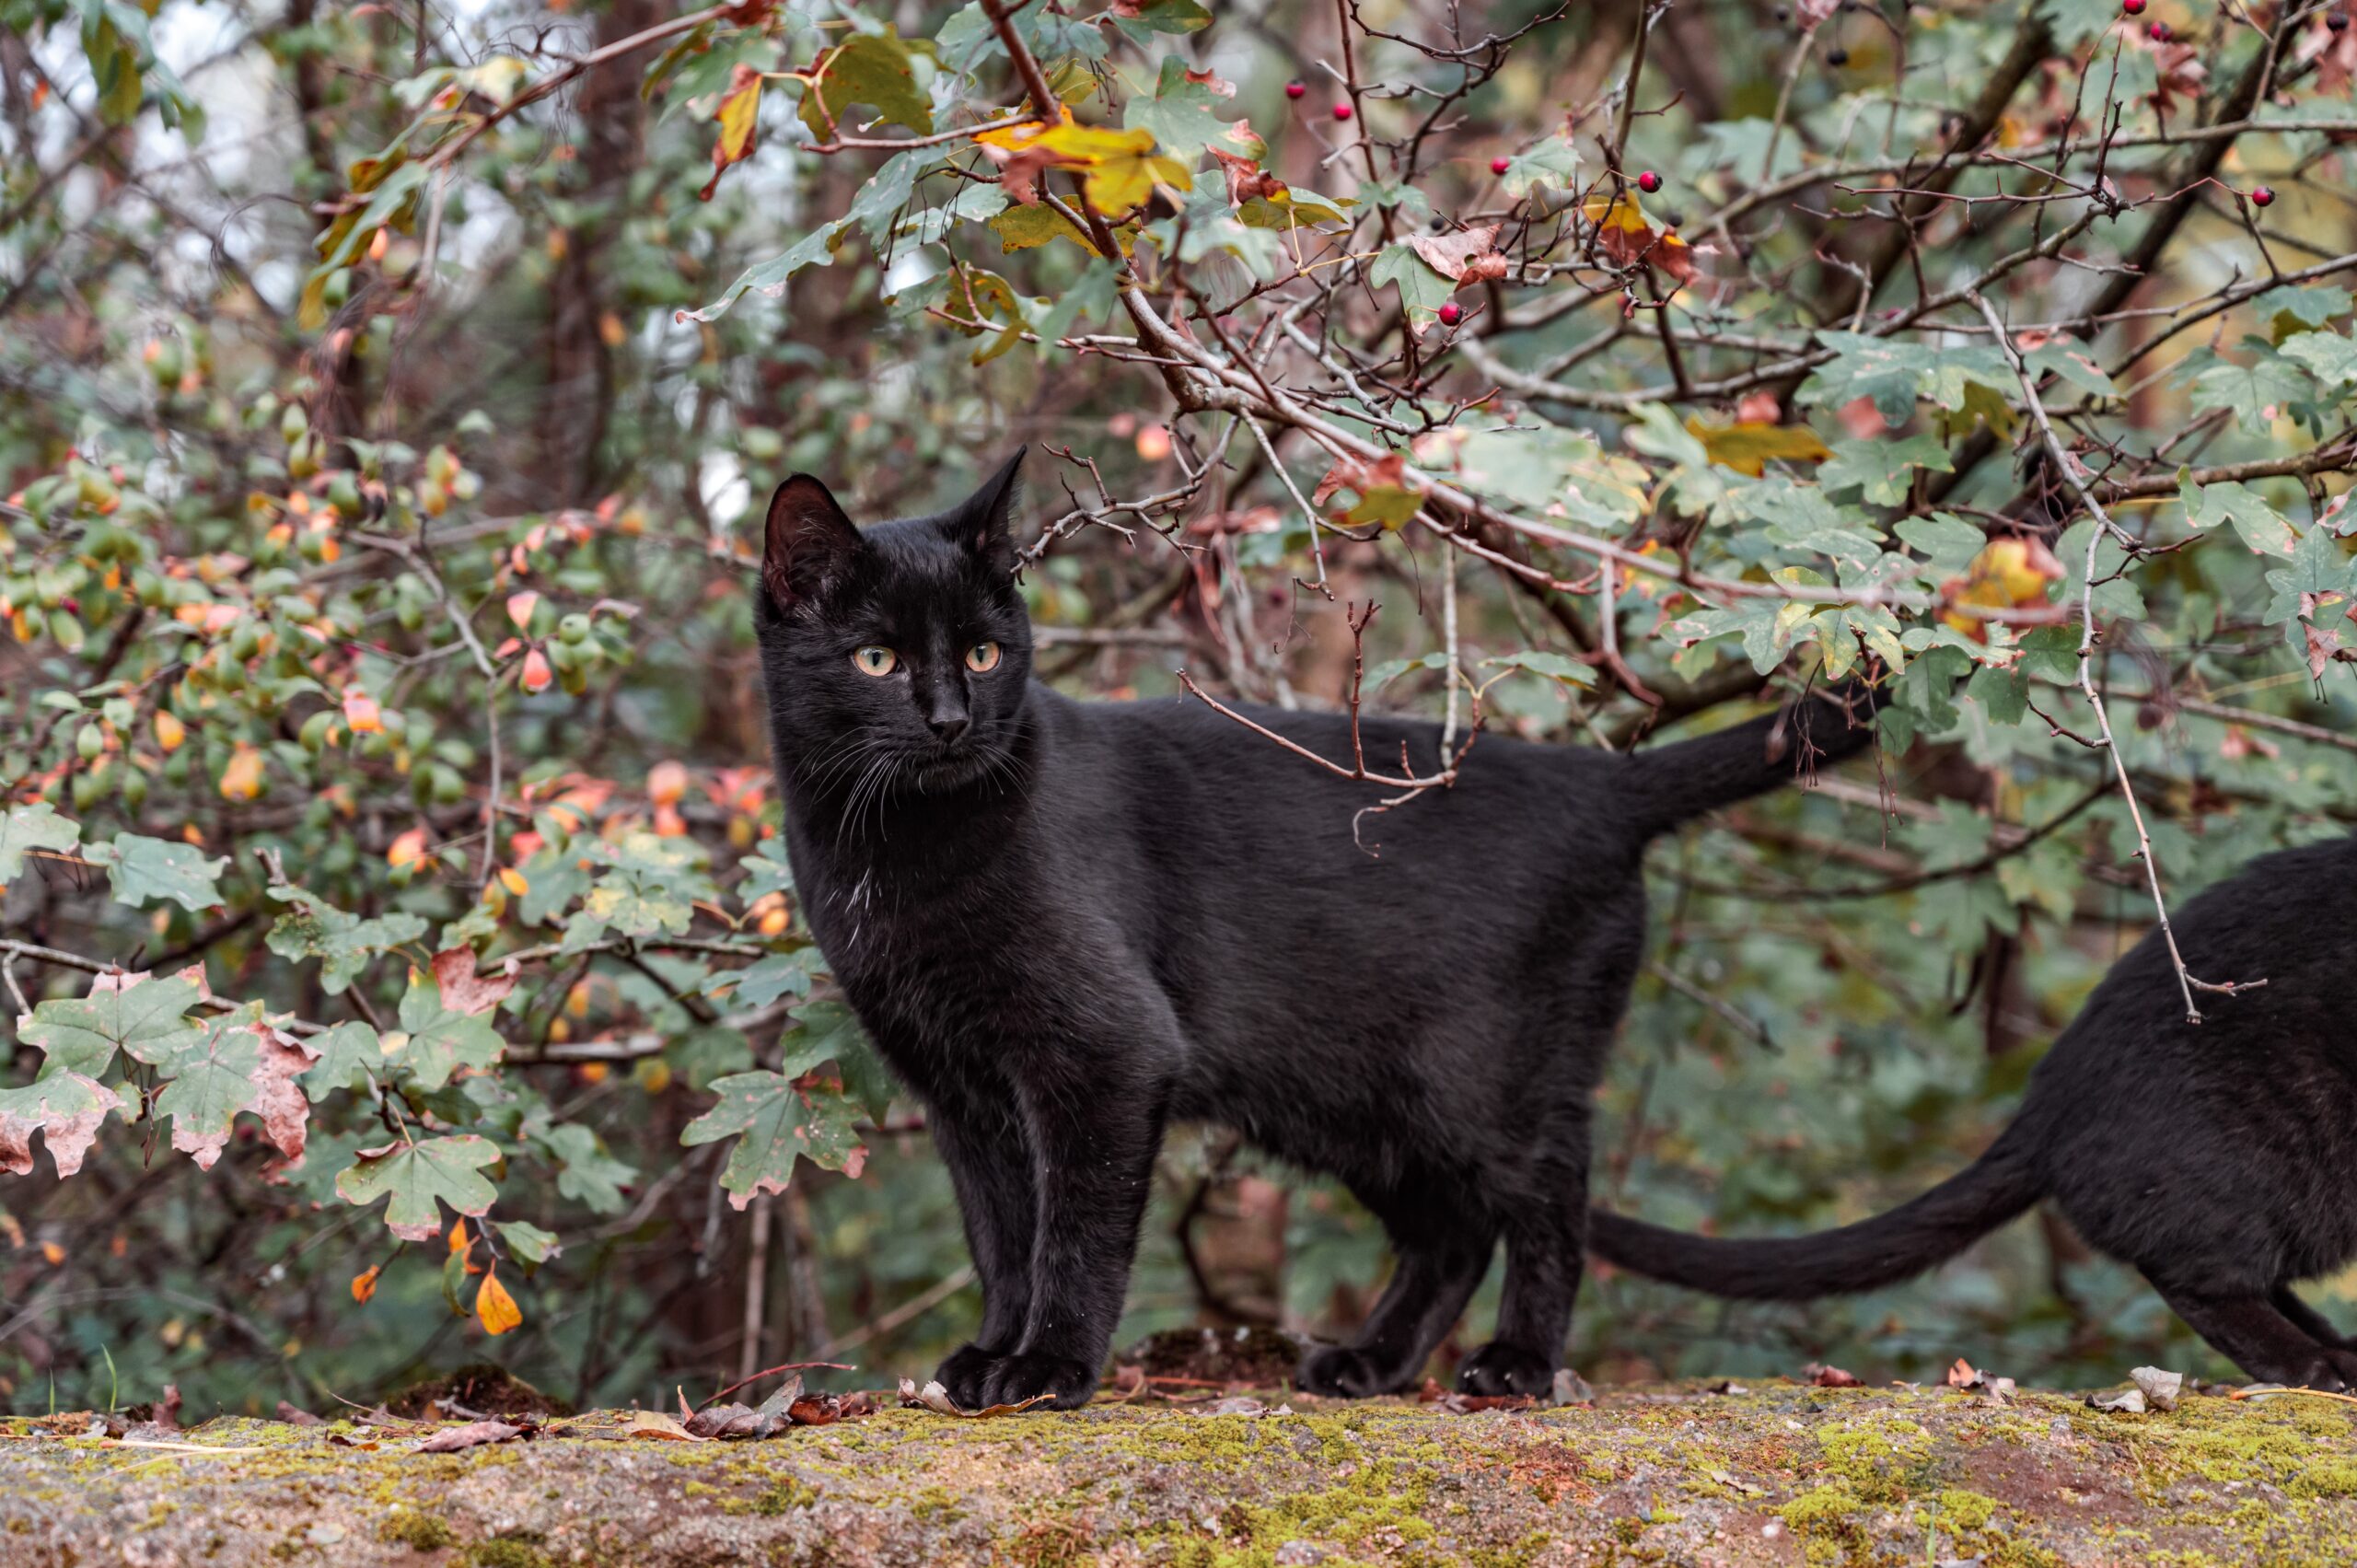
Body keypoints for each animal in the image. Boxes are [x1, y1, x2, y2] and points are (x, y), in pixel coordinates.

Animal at [754, 450, 1875, 1405]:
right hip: (1357, 1100)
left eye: (984, 653)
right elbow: (1000, 1233)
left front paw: (1047, 1367)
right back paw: (1370, 1361)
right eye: (876, 657)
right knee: (1452, 1231)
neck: (891, 852)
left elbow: (1071, 1226)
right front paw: (991, 1353)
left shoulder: (1108, 1049)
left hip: (1483, 1078)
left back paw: (1517, 1361)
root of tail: (1602, 782)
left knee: (1548, 1196)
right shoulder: (959, 1087)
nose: (950, 719)